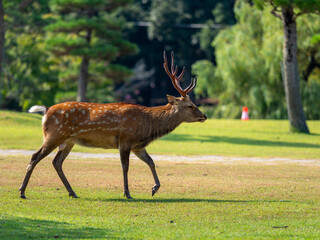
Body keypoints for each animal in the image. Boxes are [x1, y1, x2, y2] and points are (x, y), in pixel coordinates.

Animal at [19, 51, 208, 200]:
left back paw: (72, 192)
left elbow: (151, 162)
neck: (149, 124)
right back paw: (22, 191)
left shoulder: (138, 145)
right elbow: (125, 167)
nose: (204, 116)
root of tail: (45, 111)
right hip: (54, 134)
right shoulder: (125, 139)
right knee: (35, 156)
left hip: (69, 140)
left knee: (56, 162)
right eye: (190, 105)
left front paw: (155, 188)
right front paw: (127, 193)